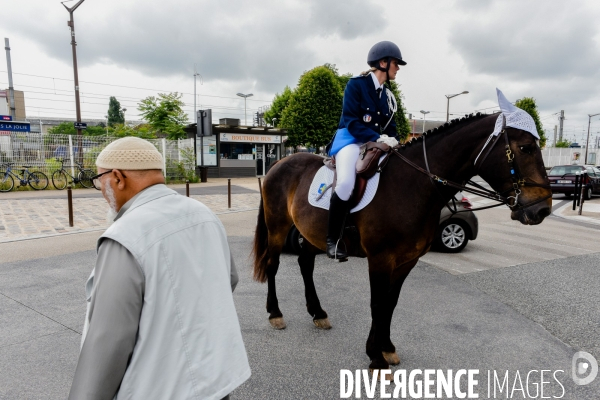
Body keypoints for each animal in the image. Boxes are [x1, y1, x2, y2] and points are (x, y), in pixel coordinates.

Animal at [251, 112, 552, 372]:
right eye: (525, 148)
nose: (543, 209)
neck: (414, 184)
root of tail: (279, 163)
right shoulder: (380, 259)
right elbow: (377, 303)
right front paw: (375, 357)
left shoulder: (407, 260)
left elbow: (390, 303)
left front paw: (386, 348)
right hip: (278, 228)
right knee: (273, 264)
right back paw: (275, 314)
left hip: (312, 234)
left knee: (305, 263)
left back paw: (318, 313)